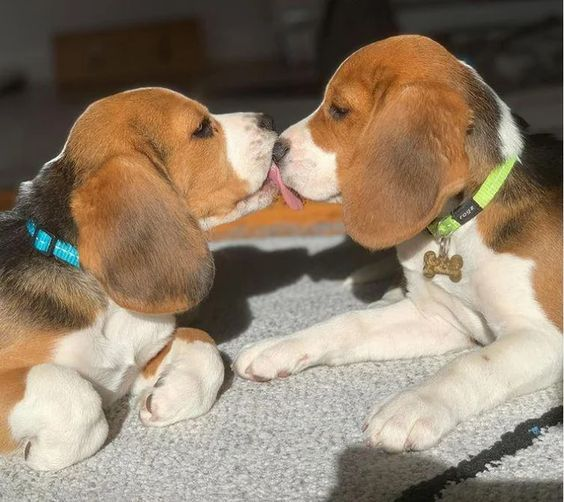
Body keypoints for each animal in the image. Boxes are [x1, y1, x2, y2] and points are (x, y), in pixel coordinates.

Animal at [0, 87, 282, 470]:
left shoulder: (147, 349)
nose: (269, 119)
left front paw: (169, 399)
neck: (108, 306)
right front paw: (46, 454)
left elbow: (203, 342)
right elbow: (74, 393)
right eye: (201, 129)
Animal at [232, 35, 560, 452]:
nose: (275, 151)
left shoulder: (543, 337)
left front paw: (412, 405)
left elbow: (470, 364)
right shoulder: (438, 320)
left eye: (339, 110)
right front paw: (280, 345)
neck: (463, 220)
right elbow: (350, 323)